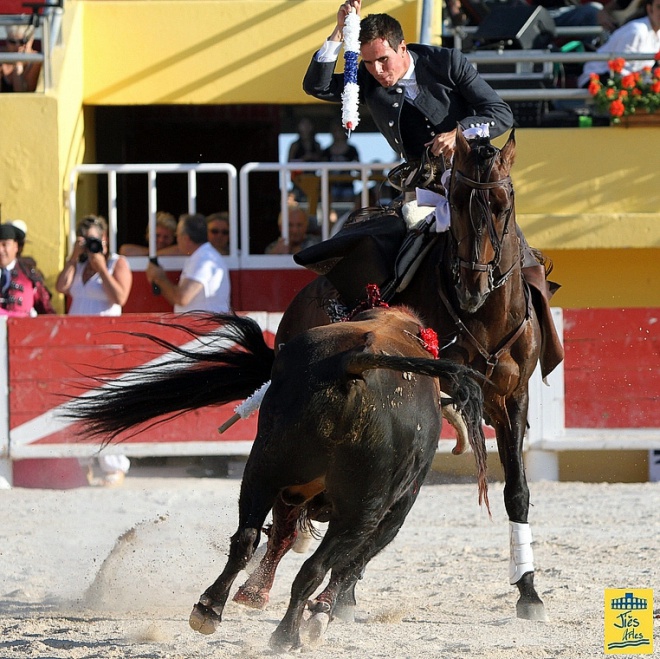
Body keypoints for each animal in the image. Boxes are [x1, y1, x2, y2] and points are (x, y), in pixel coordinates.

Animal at [64, 306, 488, 652]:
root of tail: (354, 364)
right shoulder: (396, 509)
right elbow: (350, 562)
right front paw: (322, 613)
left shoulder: (289, 491)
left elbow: (280, 538)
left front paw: (255, 594)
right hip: (363, 506)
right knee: (316, 566)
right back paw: (288, 634)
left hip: (262, 469)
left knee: (246, 539)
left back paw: (209, 609)